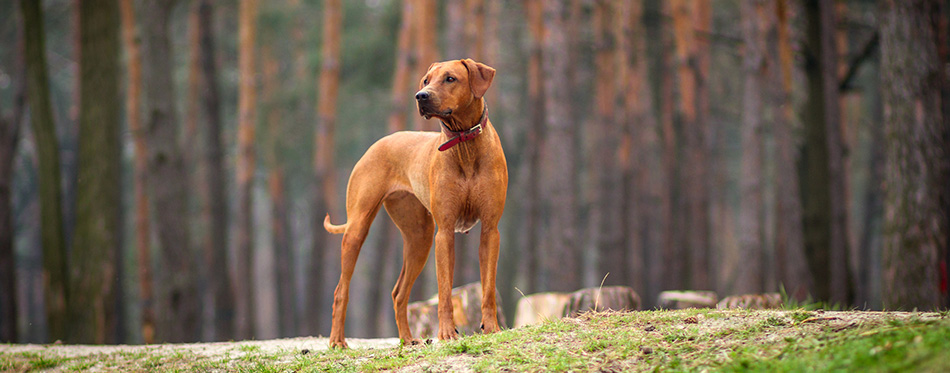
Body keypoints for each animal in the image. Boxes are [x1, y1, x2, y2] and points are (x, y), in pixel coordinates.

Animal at [326, 57, 510, 346]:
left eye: (450, 78)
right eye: (426, 80)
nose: (421, 96)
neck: (464, 143)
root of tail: (379, 143)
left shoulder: (491, 230)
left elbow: (488, 287)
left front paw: (491, 328)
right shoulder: (444, 232)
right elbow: (444, 291)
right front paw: (446, 333)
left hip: (419, 237)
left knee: (398, 293)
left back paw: (407, 339)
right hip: (357, 228)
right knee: (339, 291)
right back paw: (337, 341)